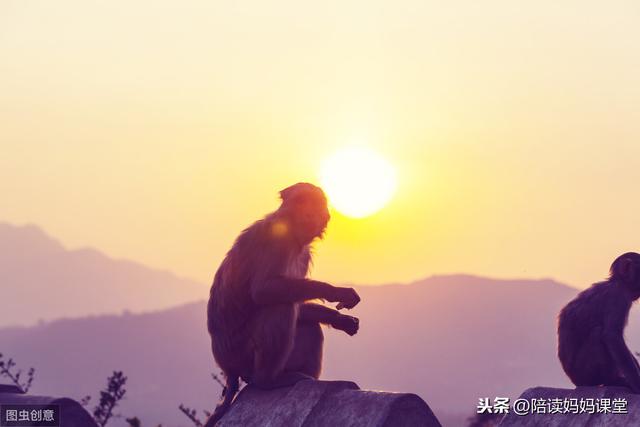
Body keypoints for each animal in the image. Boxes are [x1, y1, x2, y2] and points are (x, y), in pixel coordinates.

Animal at [204, 182, 360, 426]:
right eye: (308, 202)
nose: (321, 214)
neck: (294, 236)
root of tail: (228, 369)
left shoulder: (303, 254)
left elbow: (298, 305)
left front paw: (340, 319)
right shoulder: (277, 240)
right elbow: (264, 291)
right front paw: (334, 291)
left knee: (307, 324)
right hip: (243, 355)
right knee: (279, 307)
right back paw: (268, 380)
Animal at [556, 251, 640, 394]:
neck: (617, 282)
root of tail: (574, 380)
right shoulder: (617, 297)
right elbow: (612, 337)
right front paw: (637, 384)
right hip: (584, 372)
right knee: (597, 333)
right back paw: (610, 380)